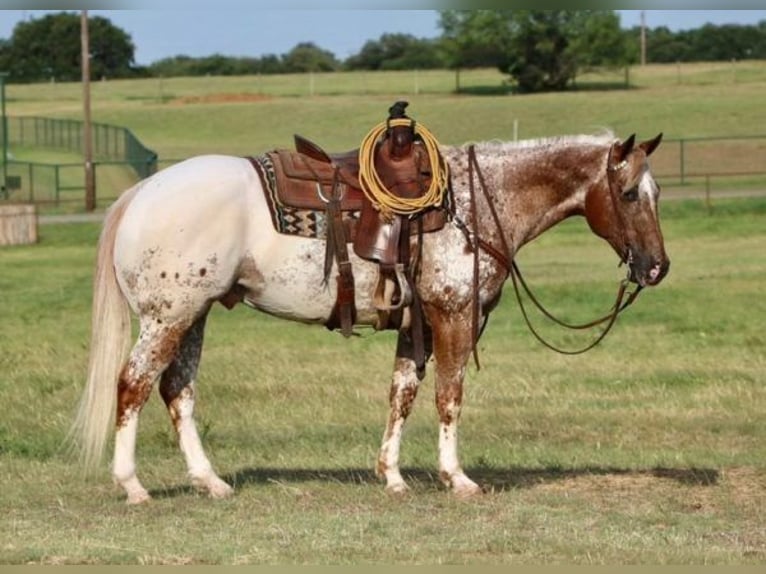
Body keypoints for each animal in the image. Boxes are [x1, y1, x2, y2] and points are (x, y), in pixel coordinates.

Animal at [72, 130, 672, 504]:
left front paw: (393, 476)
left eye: (657, 190)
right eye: (627, 193)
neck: (476, 202)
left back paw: (209, 481)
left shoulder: (415, 324)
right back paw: (133, 485)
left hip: (193, 315)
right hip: (168, 317)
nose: (657, 266)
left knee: (177, 391)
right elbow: (449, 395)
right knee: (132, 385)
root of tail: (141, 192)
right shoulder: (454, 314)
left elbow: (401, 394)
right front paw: (457, 478)